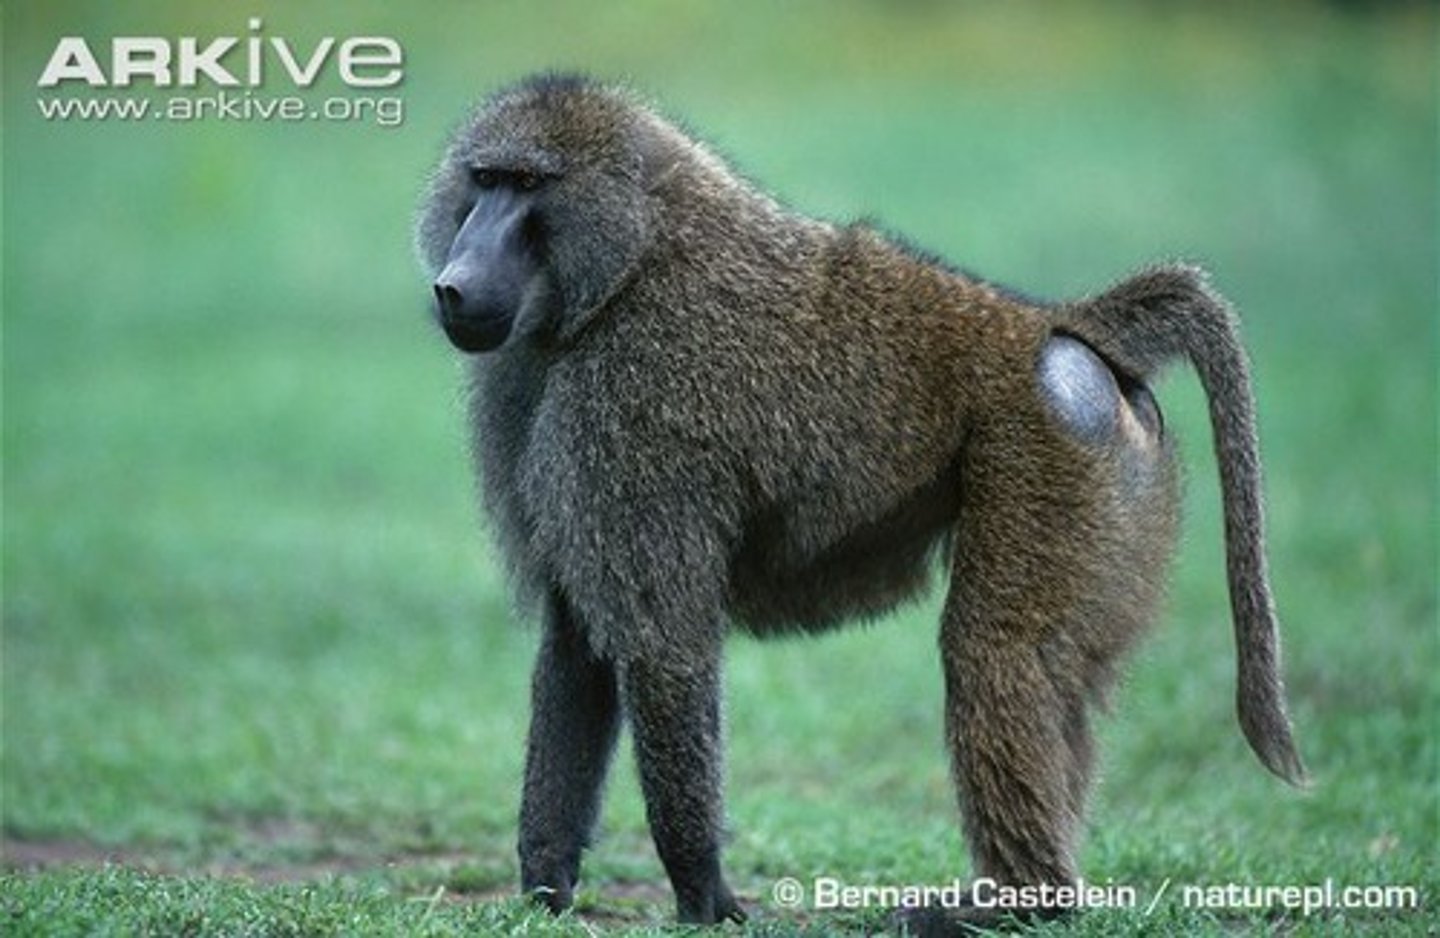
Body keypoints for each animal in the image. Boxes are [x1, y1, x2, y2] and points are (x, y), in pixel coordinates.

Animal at [414, 73, 1306, 932]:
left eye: (528, 186)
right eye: (484, 180)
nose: (454, 284)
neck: (628, 266)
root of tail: (1058, 325)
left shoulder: (632, 402)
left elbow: (663, 645)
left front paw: (703, 895)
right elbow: (578, 646)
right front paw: (546, 889)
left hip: (1055, 454)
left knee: (996, 650)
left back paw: (1018, 903)